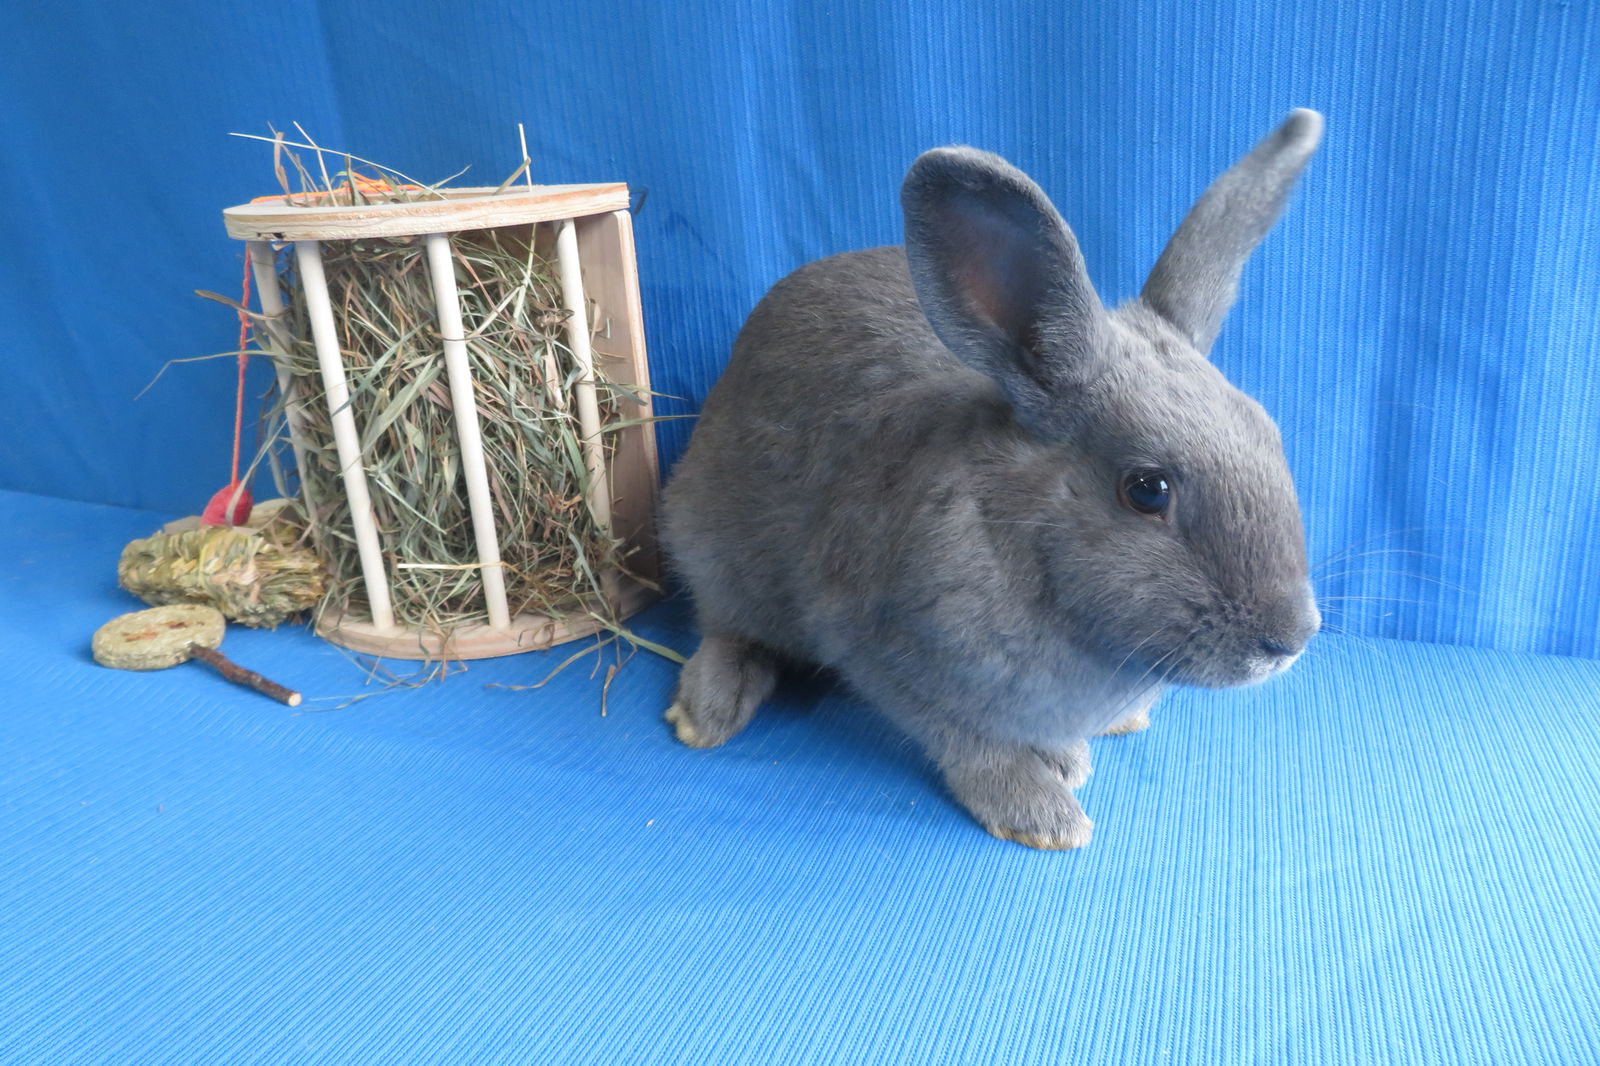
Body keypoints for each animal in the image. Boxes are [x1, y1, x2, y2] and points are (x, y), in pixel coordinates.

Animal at [662, 109, 1324, 845]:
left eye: (1269, 435)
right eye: (1147, 489)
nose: (1291, 638)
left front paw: (1069, 756)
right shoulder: (881, 650)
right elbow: (968, 742)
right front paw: (1043, 813)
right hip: (715, 543)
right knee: (726, 625)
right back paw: (706, 713)